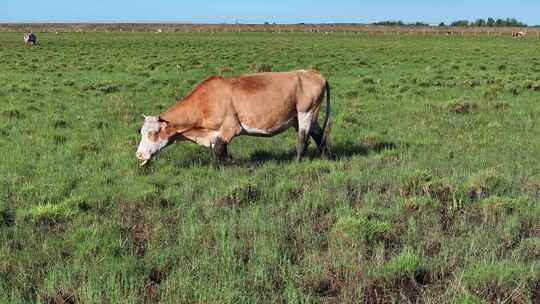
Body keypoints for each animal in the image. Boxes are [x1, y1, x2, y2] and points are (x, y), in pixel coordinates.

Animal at [135, 69, 332, 166]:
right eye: (141, 132)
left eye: (153, 134)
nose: (138, 154)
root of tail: (313, 73)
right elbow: (220, 151)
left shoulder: (230, 128)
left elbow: (219, 151)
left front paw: (235, 162)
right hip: (301, 117)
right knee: (318, 135)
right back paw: (324, 158)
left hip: (306, 113)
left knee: (303, 139)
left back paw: (297, 161)